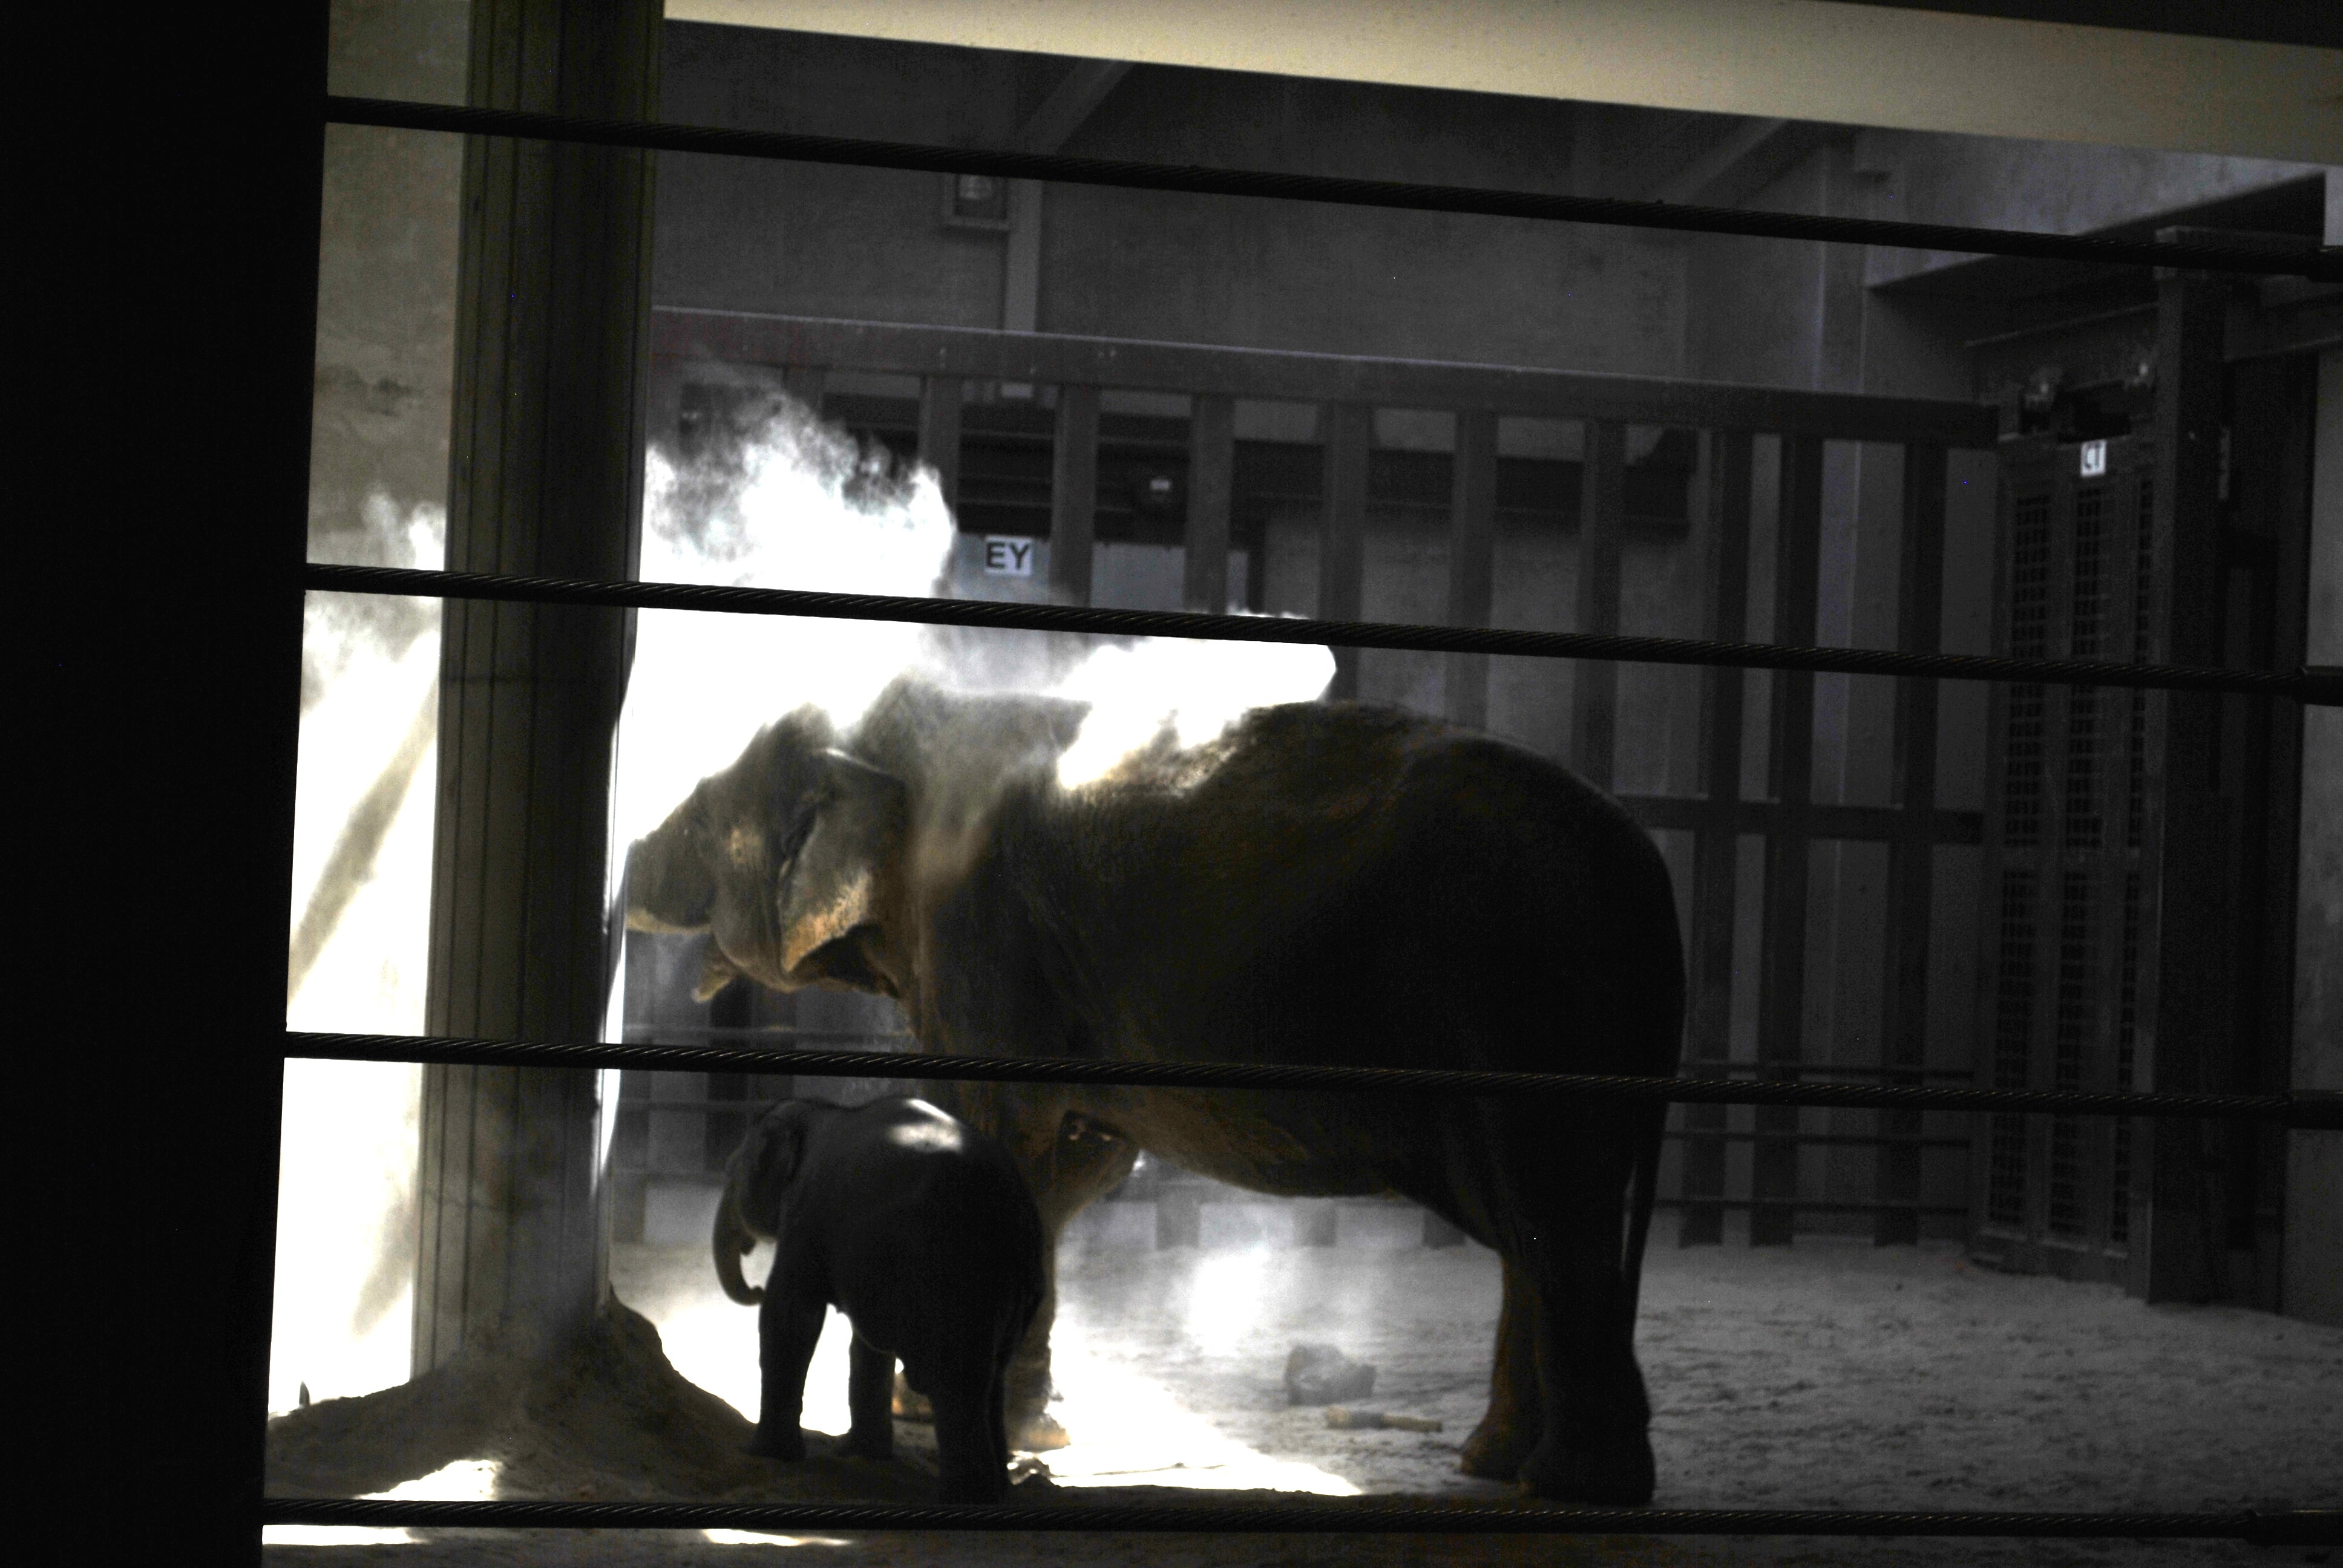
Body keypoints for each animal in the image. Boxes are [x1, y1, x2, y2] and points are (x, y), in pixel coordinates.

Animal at [713, 1094, 1045, 1503]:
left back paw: (962, 1498)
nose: (754, 1289)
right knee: (995, 1379)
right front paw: (859, 1454)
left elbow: (790, 1315)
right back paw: (998, 1491)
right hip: (1018, 1287)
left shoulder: (808, 1213)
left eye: (730, 1174)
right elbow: (865, 1346)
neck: (822, 1111)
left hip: (957, 1279)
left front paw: (764, 1454)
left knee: (956, 1383)